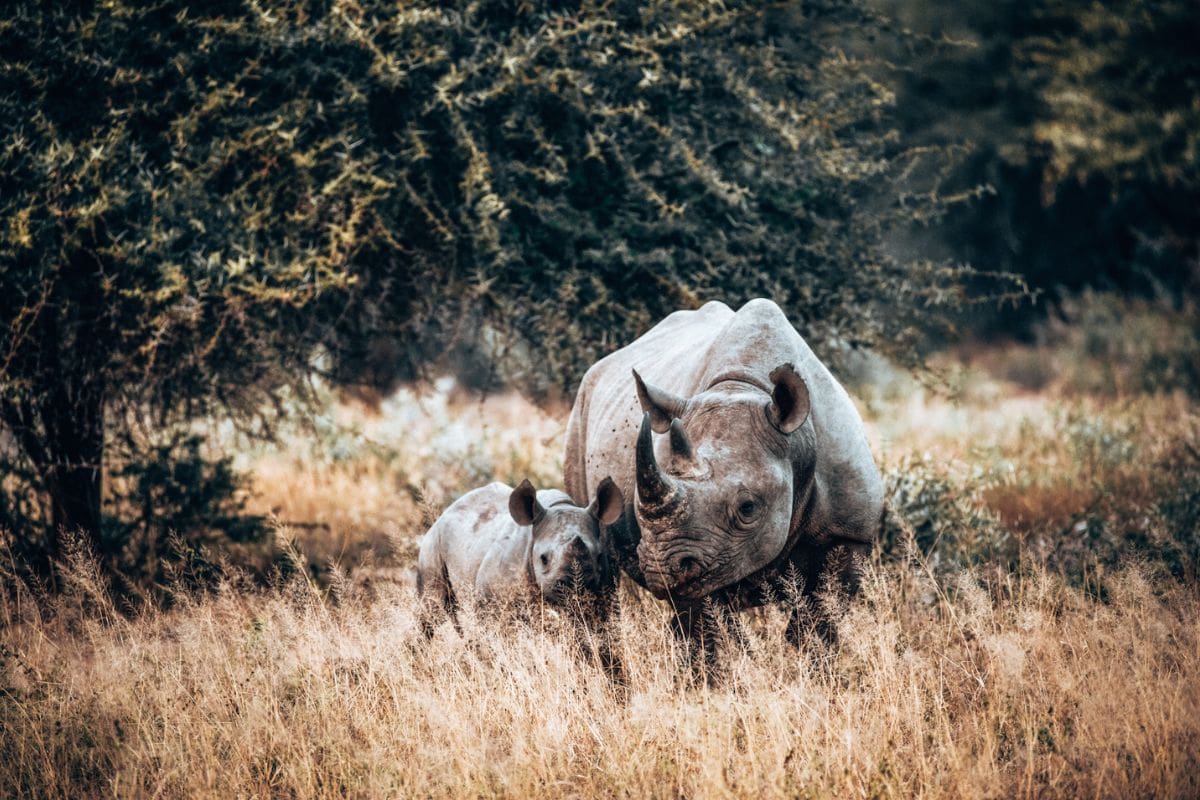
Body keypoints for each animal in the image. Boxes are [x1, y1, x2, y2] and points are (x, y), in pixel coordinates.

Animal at [416, 478, 624, 634]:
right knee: (431, 611)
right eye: (543, 558)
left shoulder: (605, 598)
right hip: (432, 545)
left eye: (599, 556)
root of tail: (447, 510)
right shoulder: (491, 602)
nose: (574, 588)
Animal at [564, 299, 883, 652]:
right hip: (580, 414)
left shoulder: (848, 533)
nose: (661, 568)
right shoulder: (703, 557)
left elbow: (819, 620)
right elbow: (711, 630)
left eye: (748, 508)